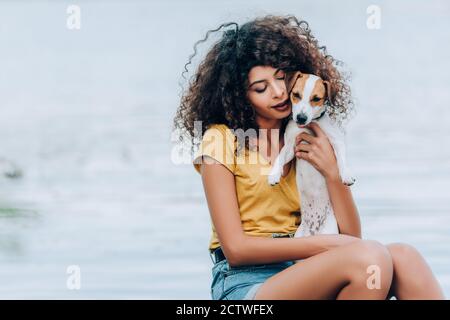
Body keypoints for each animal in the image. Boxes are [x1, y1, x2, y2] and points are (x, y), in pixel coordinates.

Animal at [268, 72, 356, 238]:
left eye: (316, 99)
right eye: (296, 95)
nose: (301, 118)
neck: (308, 126)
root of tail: (313, 231)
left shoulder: (336, 140)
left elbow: (342, 159)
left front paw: (347, 175)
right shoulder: (291, 147)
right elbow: (280, 157)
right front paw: (273, 174)